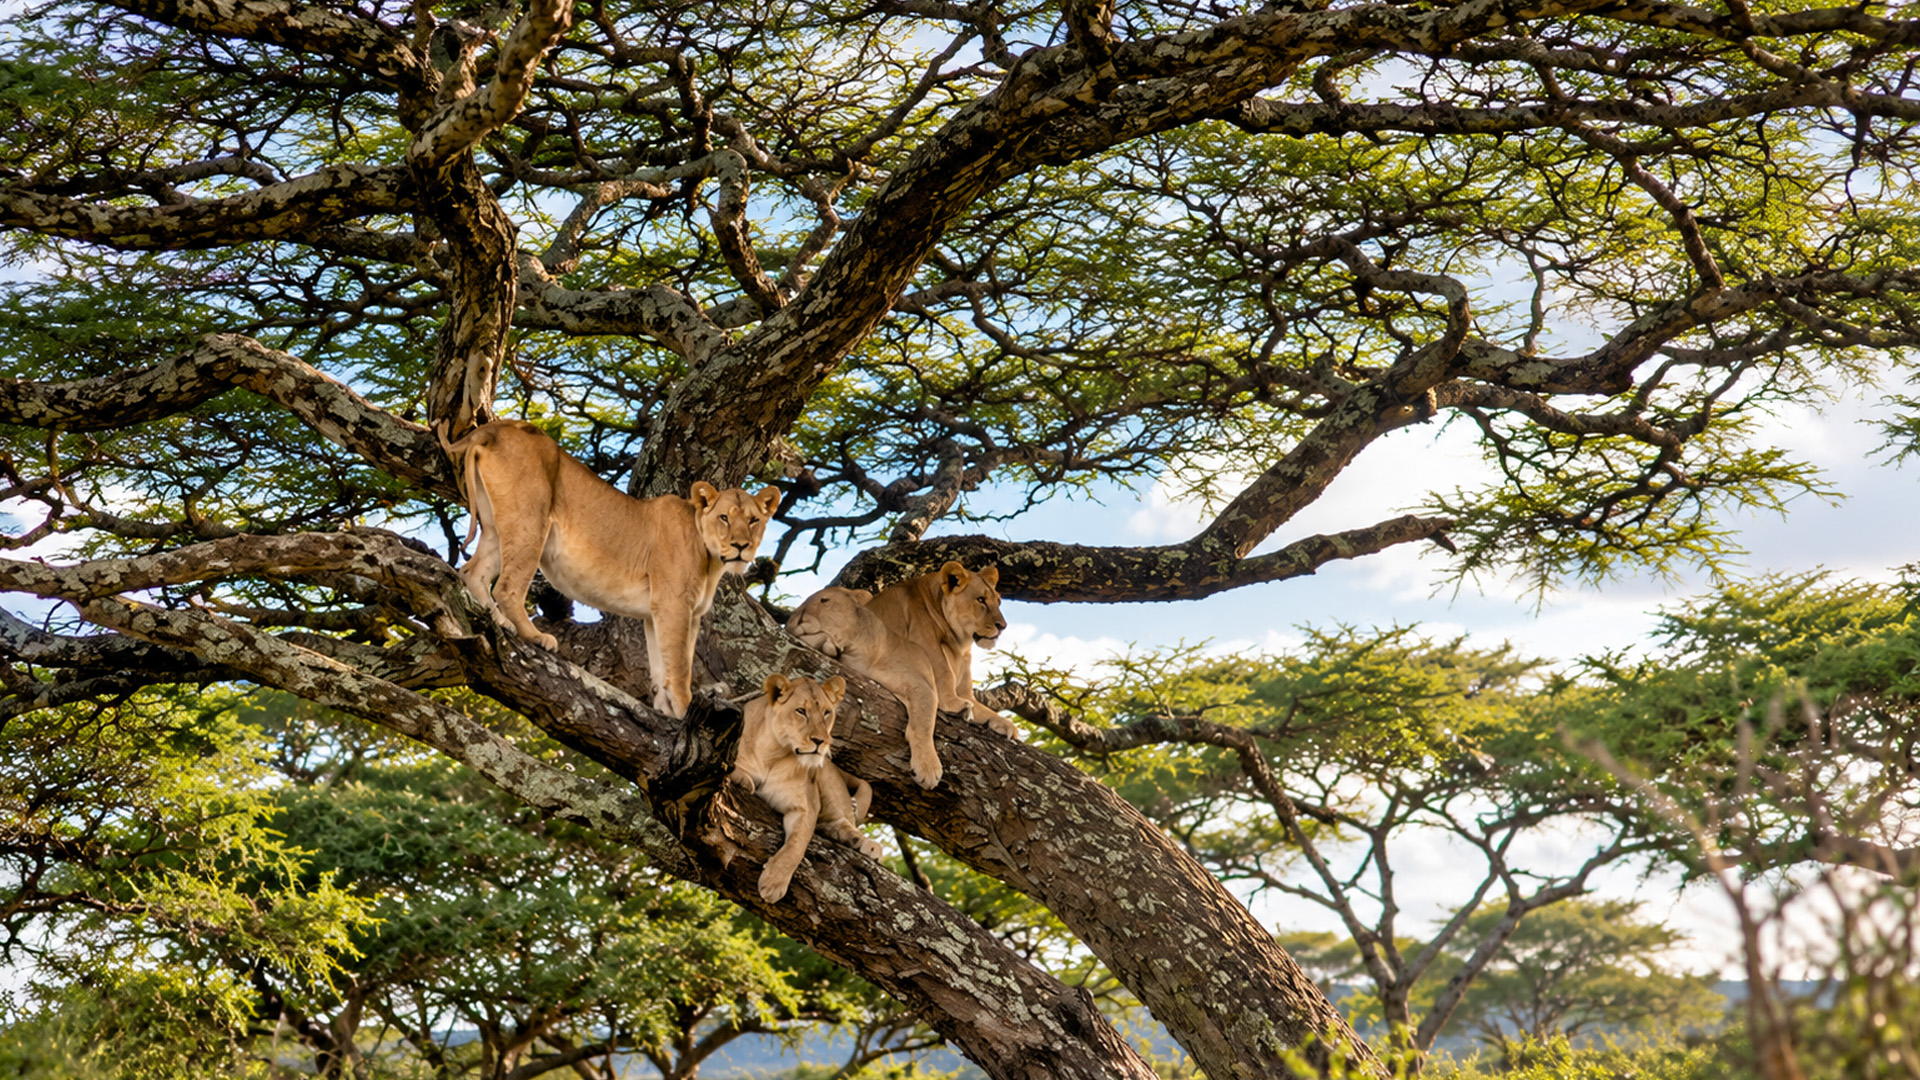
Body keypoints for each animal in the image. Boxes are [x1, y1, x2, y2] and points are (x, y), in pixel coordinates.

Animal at [449, 419, 779, 719]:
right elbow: (680, 664)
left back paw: (497, 622)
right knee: (507, 587)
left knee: (472, 573)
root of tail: (495, 427)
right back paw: (533, 635)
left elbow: (661, 665)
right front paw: (685, 708)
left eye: (753, 520)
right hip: (531, 521)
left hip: (495, 526)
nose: (741, 545)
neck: (711, 560)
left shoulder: (658, 613)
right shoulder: (674, 605)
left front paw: (666, 710)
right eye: (724, 518)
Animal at [729, 673, 885, 903]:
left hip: (829, 784)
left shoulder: (805, 807)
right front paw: (744, 780)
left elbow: (796, 845)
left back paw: (866, 844)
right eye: (801, 711)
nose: (821, 741)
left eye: (827, 713)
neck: (773, 753)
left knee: (842, 822)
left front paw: (773, 882)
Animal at [787, 563, 1017, 789]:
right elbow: (938, 693)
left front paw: (1007, 727)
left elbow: (981, 708)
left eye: (998, 602)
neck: (960, 644)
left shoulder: (963, 689)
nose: (1002, 626)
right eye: (981, 600)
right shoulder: (926, 650)